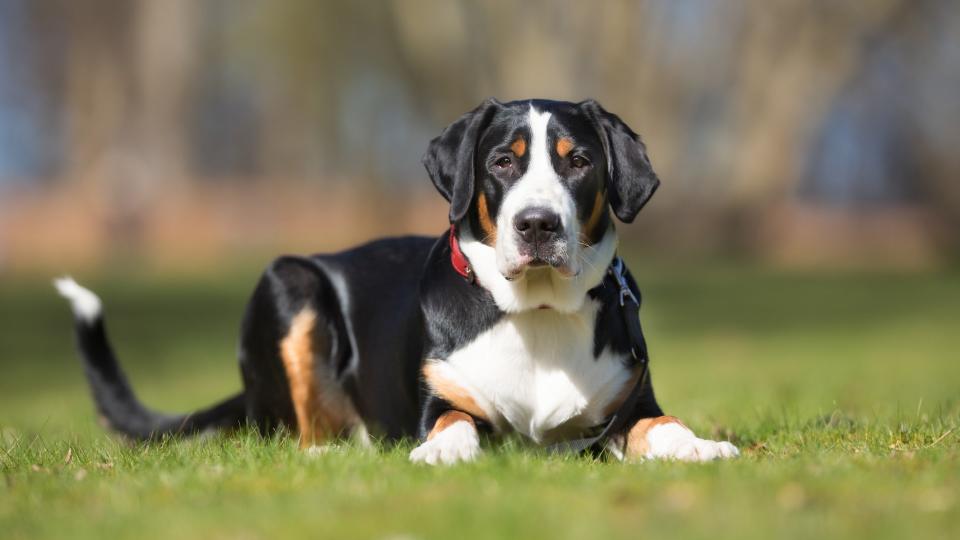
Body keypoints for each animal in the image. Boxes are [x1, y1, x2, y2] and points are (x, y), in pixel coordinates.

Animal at [56, 100, 740, 464]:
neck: (537, 314)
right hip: (290, 282)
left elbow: (661, 425)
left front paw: (699, 446)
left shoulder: (626, 406)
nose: (537, 224)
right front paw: (442, 451)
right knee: (301, 434)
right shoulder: (440, 399)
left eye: (580, 161)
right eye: (502, 162)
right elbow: (452, 422)